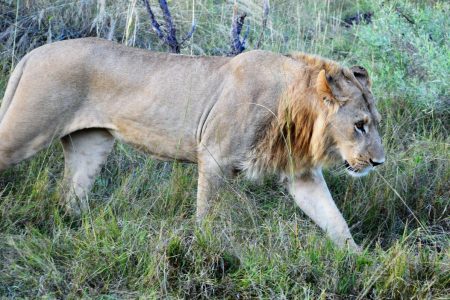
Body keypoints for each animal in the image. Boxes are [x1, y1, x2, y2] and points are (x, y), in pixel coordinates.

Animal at [1, 38, 384, 252]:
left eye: (376, 123)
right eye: (359, 125)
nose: (379, 163)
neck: (298, 110)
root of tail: (33, 53)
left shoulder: (300, 174)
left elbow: (333, 218)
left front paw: (359, 259)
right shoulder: (215, 156)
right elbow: (207, 214)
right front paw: (206, 250)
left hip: (90, 145)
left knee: (69, 197)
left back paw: (75, 229)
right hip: (27, 130)